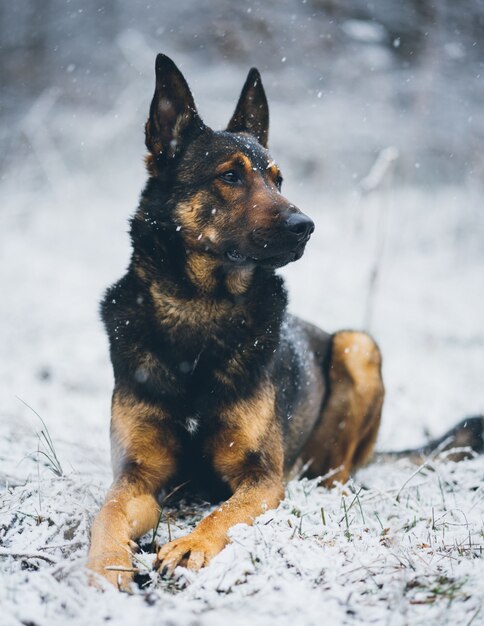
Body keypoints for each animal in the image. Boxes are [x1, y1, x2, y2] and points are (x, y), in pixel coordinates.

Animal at [87, 54, 484, 588]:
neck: (200, 310)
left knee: (337, 475)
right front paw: (104, 567)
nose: (306, 227)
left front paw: (190, 545)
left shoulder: (260, 478)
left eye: (278, 180)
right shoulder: (136, 476)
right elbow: (106, 512)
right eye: (230, 176)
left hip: (358, 347)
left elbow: (224, 513)